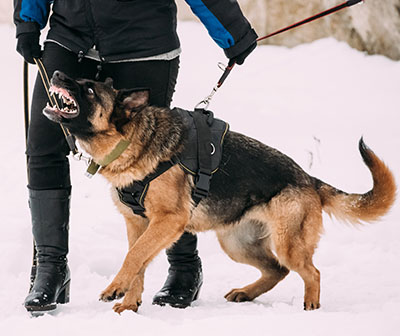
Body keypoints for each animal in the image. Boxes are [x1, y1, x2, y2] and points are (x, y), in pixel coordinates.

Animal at [43, 71, 394, 316]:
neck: (131, 141)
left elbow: (134, 257)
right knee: (277, 269)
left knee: (312, 272)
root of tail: (308, 178)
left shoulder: (167, 222)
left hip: (287, 244)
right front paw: (129, 305)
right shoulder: (138, 224)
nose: (57, 73)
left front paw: (115, 288)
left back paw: (311, 308)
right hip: (237, 244)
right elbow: (139, 262)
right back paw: (246, 293)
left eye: (89, 89)